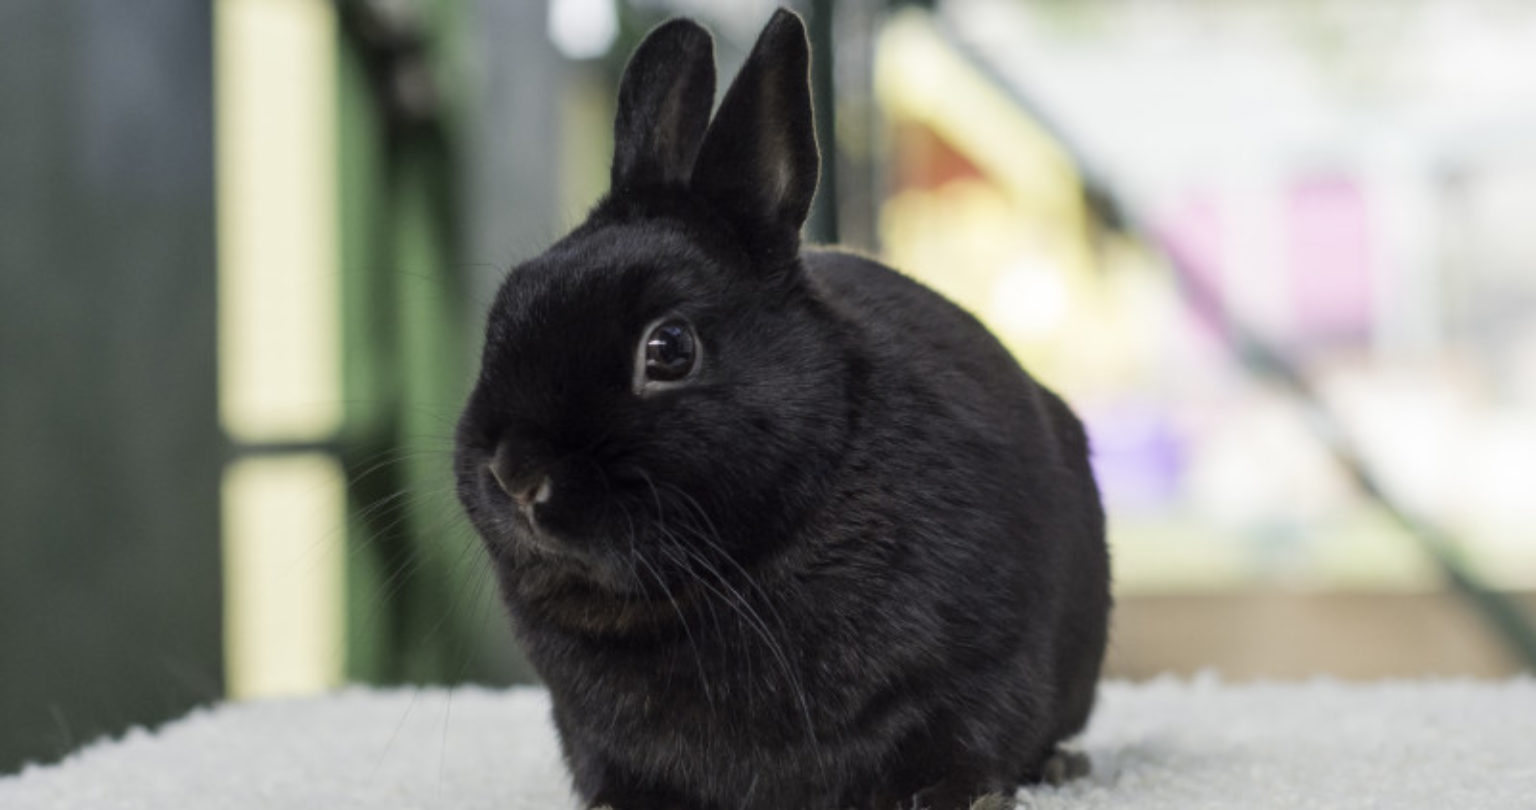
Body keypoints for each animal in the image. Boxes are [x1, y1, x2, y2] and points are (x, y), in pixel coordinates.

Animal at [453, 8, 1110, 810]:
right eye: (505, 307)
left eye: (669, 348)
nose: (516, 473)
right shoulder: (585, 727)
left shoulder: (984, 663)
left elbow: (971, 734)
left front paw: (958, 794)